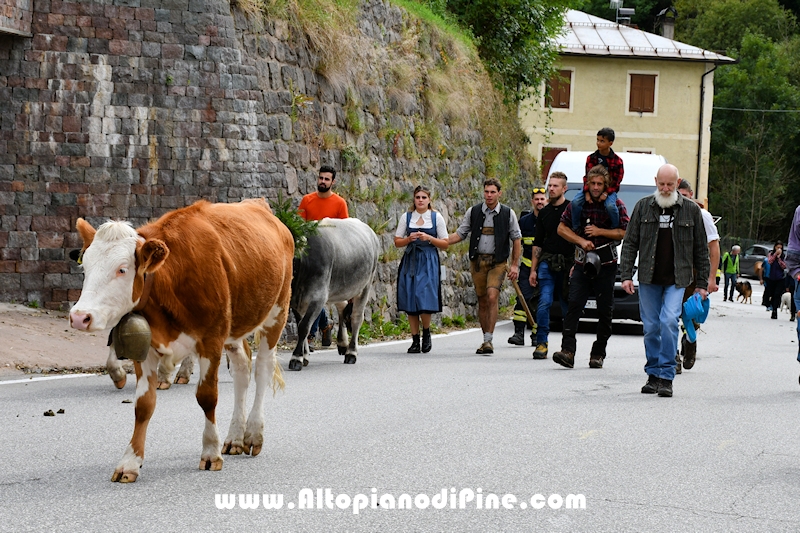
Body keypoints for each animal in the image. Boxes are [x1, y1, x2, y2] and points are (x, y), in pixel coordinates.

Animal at [69, 200, 294, 482]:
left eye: (122, 269)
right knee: (242, 370)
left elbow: (207, 397)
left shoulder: (211, 340)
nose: (79, 317)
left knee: (262, 369)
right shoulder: (146, 348)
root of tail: (257, 203)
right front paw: (130, 462)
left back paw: (253, 434)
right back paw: (234, 438)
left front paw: (210, 452)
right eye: (85, 267)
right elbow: (143, 405)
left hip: (276, 313)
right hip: (235, 328)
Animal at [290, 216, 380, 370]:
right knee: (342, 307)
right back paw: (342, 343)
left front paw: (296, 358)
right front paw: (304, 355)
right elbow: (301, 325)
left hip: (365, 285)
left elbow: (304, 326)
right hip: (339, 287)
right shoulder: (295, 302)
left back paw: (351, 352)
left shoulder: (318, 298)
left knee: (356, 317)